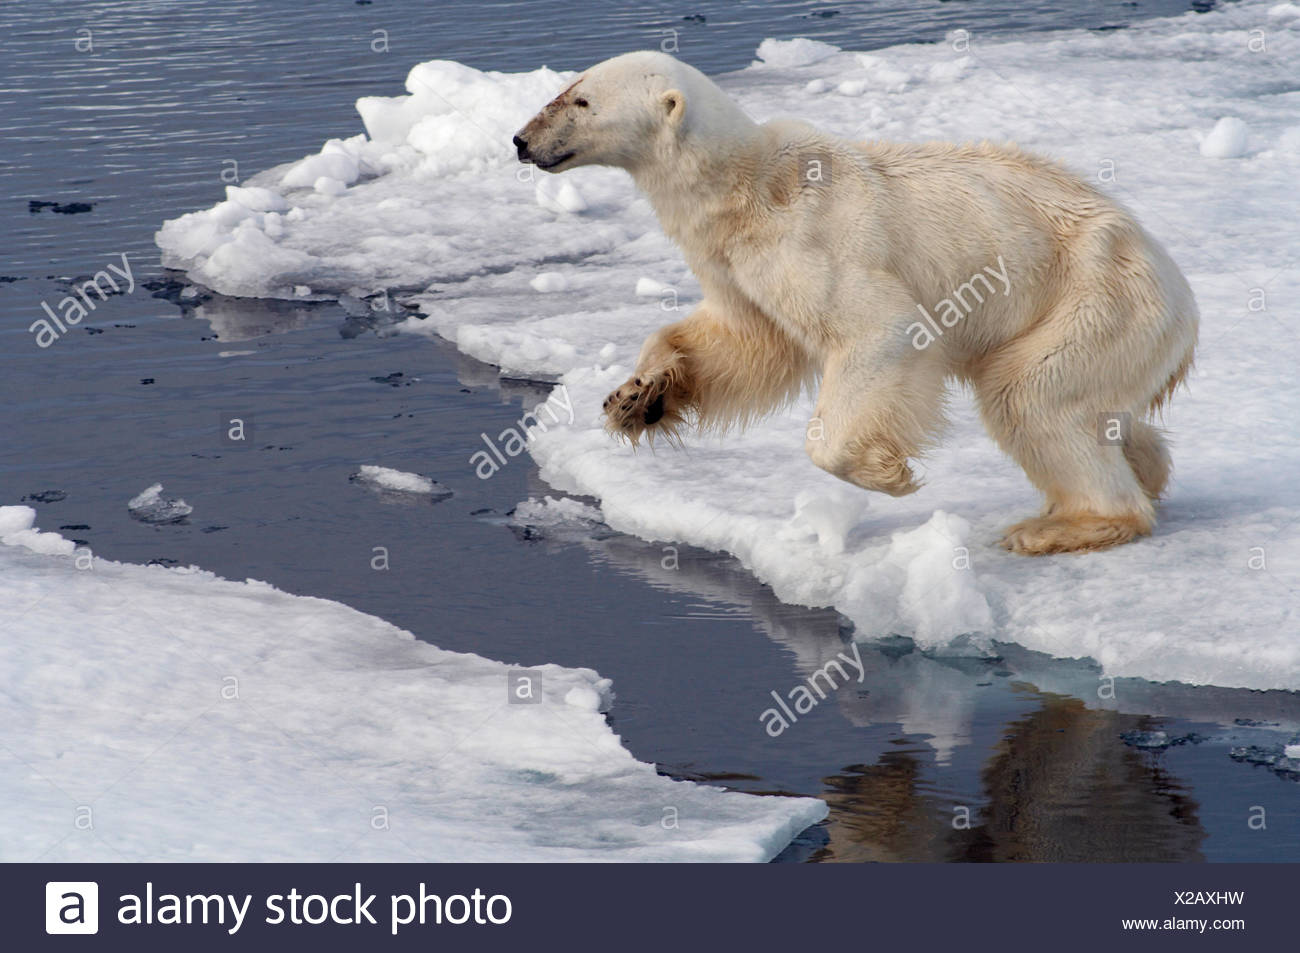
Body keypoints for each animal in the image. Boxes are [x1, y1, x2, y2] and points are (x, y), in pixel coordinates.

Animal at [513, 51, 1198, 555]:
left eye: (581, 100)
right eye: (568, 86)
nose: (520, 140)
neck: (746, 184)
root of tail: (1180, 299)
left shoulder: (808, 239)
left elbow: (878, 329)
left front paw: (886, 473)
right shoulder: (734, 264)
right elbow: (747, 340)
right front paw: (636, 396)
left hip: (1093, 295)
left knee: (1030, 395)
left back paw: (1060, 525)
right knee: (1094, 406)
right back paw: (1144, 465)